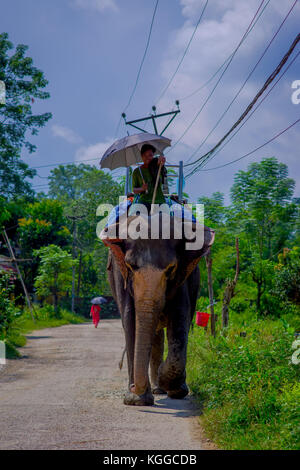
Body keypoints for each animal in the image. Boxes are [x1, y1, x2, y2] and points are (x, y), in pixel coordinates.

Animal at [102, 213, 214, 404]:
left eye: (171, 269)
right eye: (130, 266)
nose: (133, 386)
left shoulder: (182, 278)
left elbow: (180, 319)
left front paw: (171, 385)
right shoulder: (120, 276)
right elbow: (130, 321)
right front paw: (136, 400)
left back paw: (164, 388)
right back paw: (155, 390)